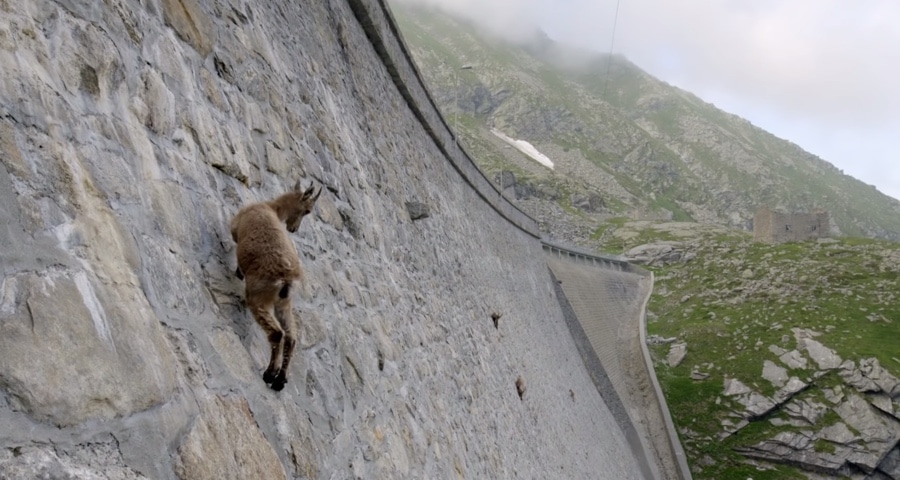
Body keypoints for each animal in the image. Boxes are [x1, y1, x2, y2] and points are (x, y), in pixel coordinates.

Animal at [230, 180, 321, 391]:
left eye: (308, 211)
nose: (293, 229)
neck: (270, 207)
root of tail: (287, 279)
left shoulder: (235, 229)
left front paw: (238, 272)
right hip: (284, 304)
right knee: (291, 337)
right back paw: (280, 380)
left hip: (258, 297)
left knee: (277, 333)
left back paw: (270, 374)